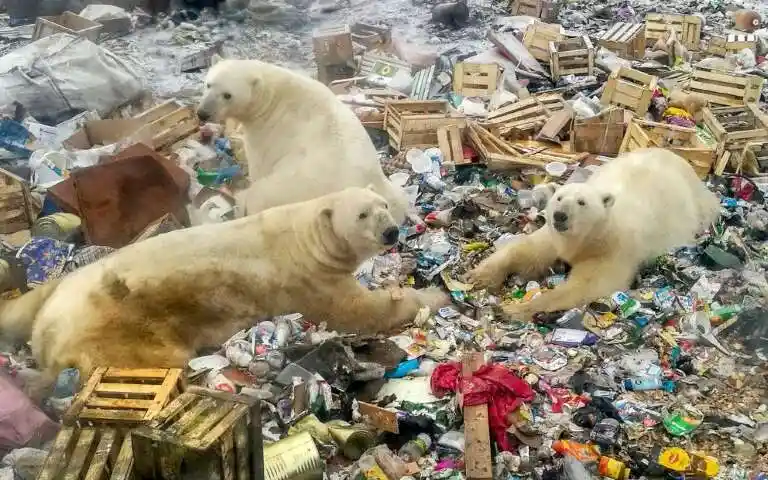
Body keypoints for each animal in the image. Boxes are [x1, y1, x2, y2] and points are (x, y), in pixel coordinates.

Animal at [0, 187, 449, 396]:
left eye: (383, 205)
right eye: (361, 214)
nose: (391, 232)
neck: (308, 238)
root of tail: (47, 335)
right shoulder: (309, 280)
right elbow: (359, 310)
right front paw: (435, 298)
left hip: (61, 290)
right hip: (117, 330)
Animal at [196, 56, 409, 224]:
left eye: (227, 95)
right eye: (208, 84)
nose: (203, 113)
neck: (272, 94)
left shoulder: (268, 131)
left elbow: (259, 164)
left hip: (293, 188)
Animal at [468, 148, 721, 319]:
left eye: (582, 202)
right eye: (559, 198)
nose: (560, 215)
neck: (590, 237)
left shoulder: (612, 250)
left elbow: (587, 285)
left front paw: (513, 309)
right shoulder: (554, 237)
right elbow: (526, 251)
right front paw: (479, 276)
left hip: (697, 205)